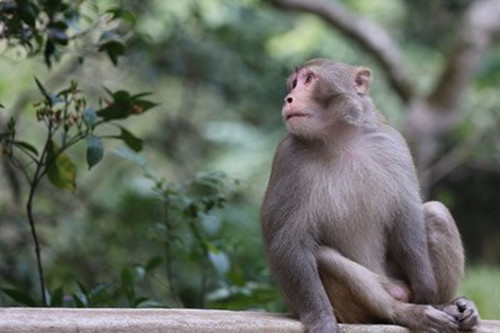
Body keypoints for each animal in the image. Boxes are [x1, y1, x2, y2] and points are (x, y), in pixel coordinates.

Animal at [260, 58, 478, 330]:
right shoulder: (288, 158)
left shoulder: (392, 143)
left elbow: (406, 218)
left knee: (436, 213)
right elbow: (287, 242)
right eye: (294, 84)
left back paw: (446, 303)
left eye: (309, 79)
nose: (289, 98)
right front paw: (321, 320)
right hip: (361, 302)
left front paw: (427, 291)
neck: (340, 139)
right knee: (323, 256)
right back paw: (403, 312)